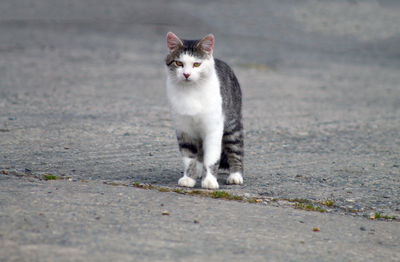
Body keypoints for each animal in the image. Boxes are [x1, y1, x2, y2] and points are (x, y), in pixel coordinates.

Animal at [163, 31, 244, 189]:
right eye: (179, 63)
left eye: (196, 64)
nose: (186, 74)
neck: (191, 92)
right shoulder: (184, 130)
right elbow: (189, 157)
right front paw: (189, 178)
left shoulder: (213, 128)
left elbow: (212, 158)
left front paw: (210, 181)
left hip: (232, 124)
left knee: (235, 149)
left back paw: (235, 175)